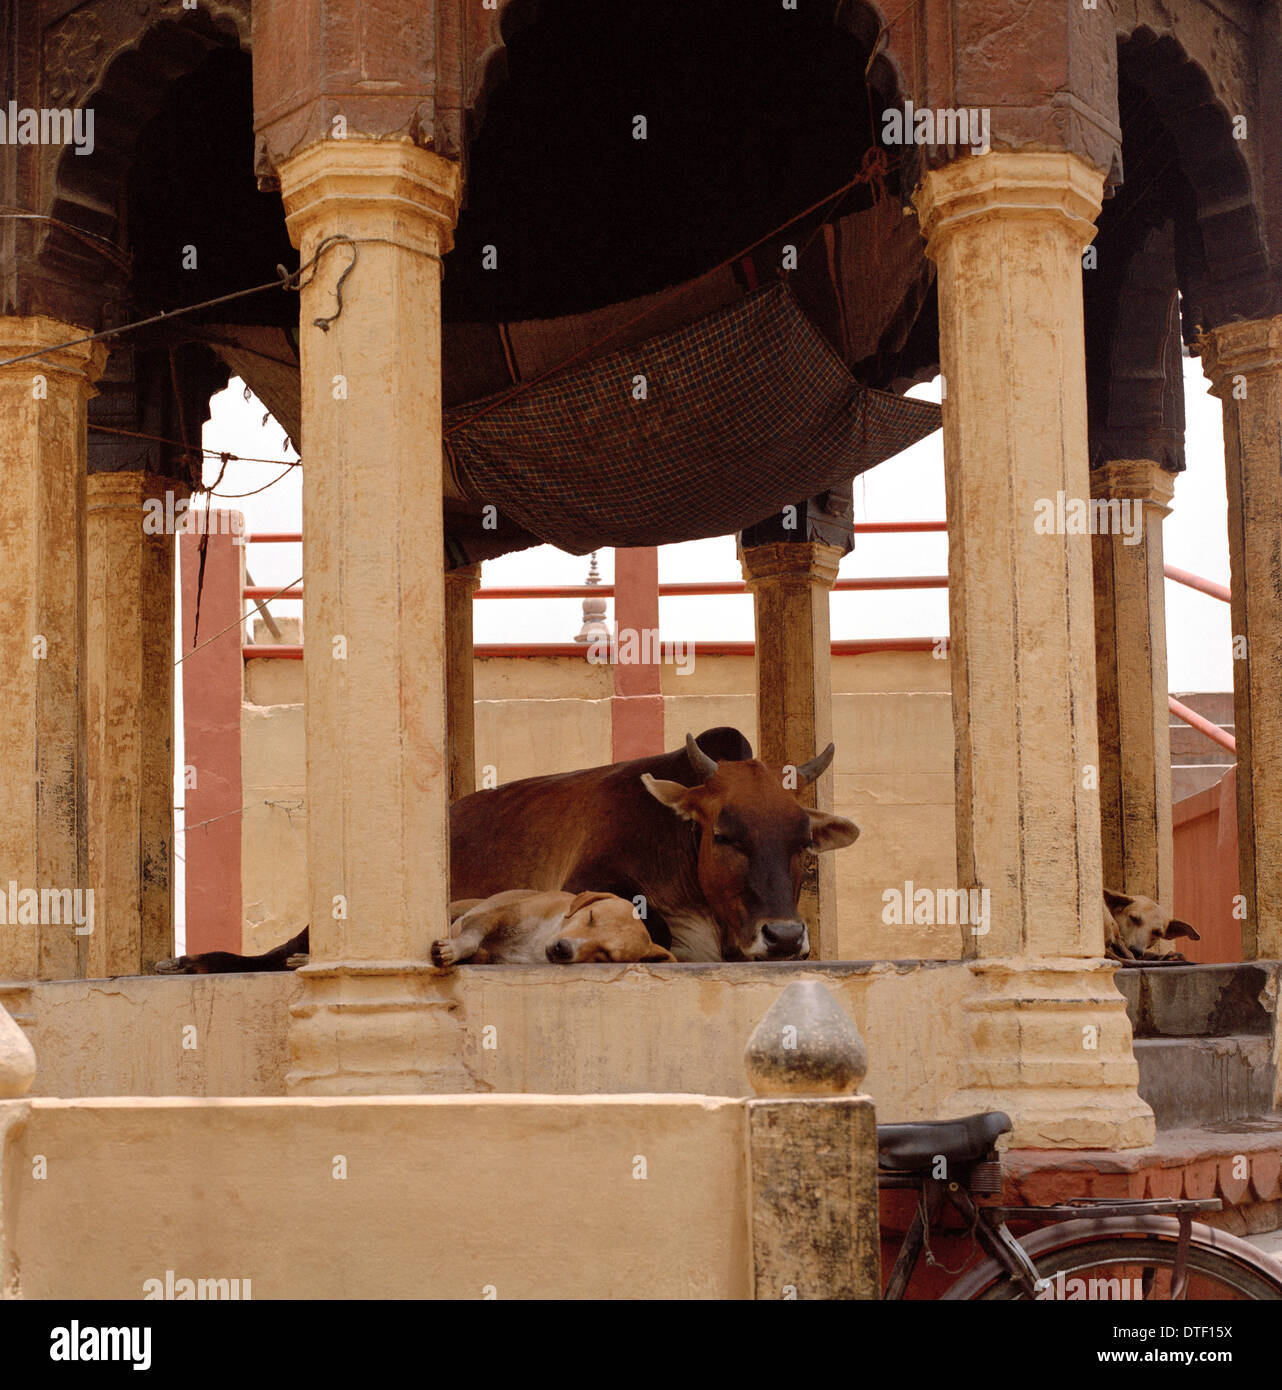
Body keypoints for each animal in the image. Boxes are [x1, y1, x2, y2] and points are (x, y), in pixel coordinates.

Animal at [431, 889, 675, 967]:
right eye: (591, 917)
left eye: (606, 954)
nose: (563, 948)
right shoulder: (493, 916)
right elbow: (471, 937)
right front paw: (454, 949)